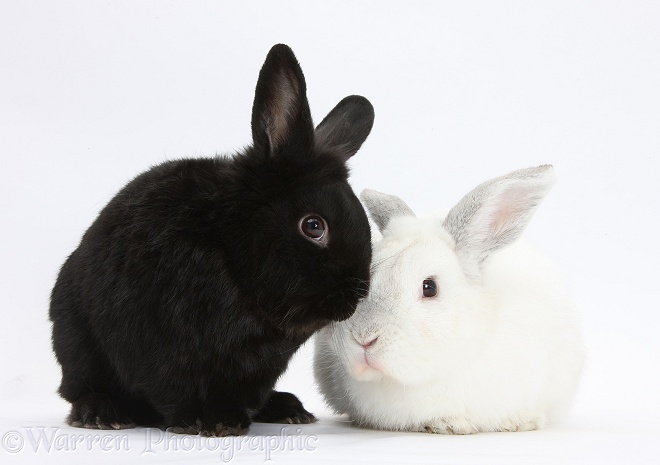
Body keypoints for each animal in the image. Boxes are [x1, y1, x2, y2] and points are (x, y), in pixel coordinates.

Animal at [49, 43, 374, 436]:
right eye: (313, 226)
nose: (356, 294)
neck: (228, 251)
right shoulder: (160, 348)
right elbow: (172, 390)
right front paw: (203, 422)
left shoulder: (258, 369)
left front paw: (230, 418)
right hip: (75, 342)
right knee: (79, 388)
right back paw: (100, 413)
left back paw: (286, 408)